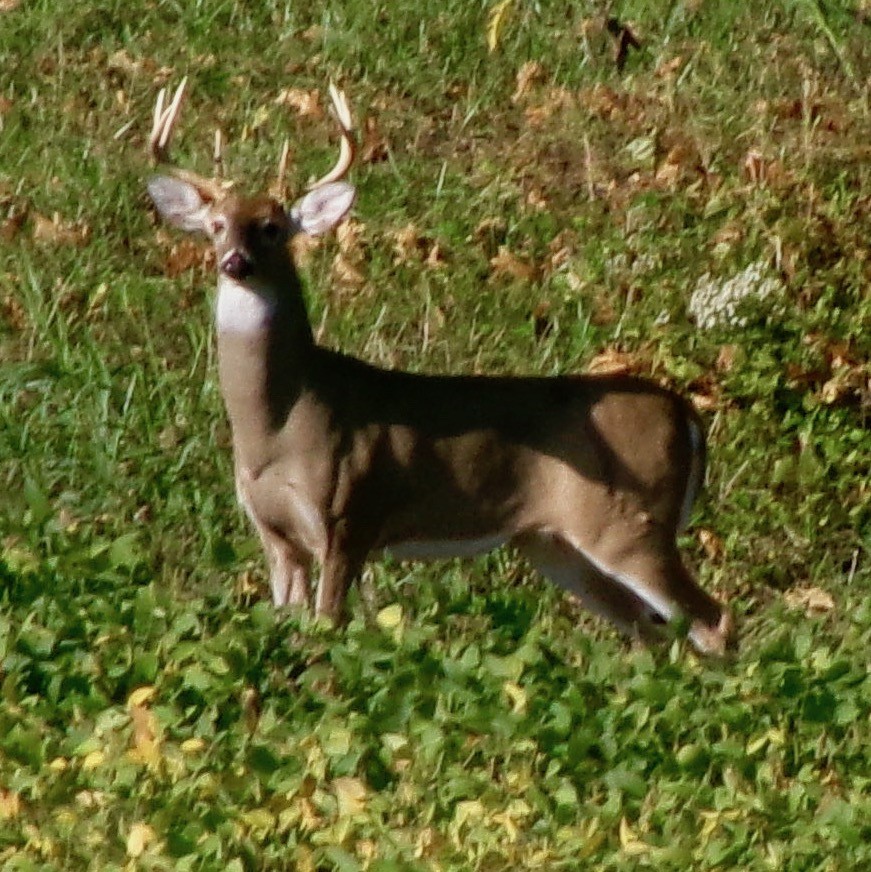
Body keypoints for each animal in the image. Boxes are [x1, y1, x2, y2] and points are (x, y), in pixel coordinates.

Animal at [146, 80, 734, 656]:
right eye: (216, 225)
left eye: (271, 228)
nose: (235, 262)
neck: (281, 423)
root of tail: (686, 415)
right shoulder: (274, 530)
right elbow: (287, 625)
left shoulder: (350, 514)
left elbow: (328, 625)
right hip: (554, 541)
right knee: (647, 630)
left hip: (632, 521)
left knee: (712, 620)